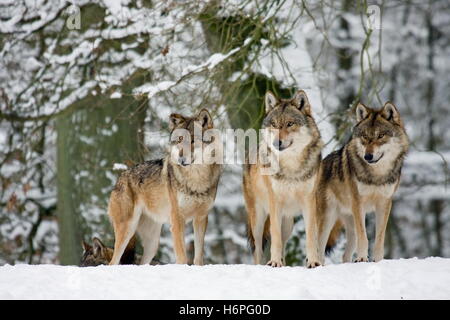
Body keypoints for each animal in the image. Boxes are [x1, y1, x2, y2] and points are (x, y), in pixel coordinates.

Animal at [109, 109, 221, 264]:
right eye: (179, 140)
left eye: (193, 140)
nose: (181, 160)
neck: (196, 179)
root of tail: (120, 178)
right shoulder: (177, 220)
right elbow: (182, 257)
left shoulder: (201, 218)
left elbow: (198, 257)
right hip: (127, 230)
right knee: (112, 262)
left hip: (153, 244)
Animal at [243, 90, 324, 268]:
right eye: (274, 124)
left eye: (289, 124)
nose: (276, 143)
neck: (291, 167)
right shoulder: (275, 203)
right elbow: (275, 238)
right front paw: (274, 262)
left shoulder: (309, 202)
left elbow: (311, 236)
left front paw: (313, 262)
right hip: (258, 220)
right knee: (258, 248)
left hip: (288, 223)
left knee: (284, 243)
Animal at [314, 102, 410, 262]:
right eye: (365, 136)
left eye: (380, 135)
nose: (368, 156)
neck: (377, 175)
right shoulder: (359, 204)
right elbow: (364, 237)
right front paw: (362, 259)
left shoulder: (384, 203)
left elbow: (379, 238)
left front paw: (377, 261)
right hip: (327, 219)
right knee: (319, 250)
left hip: (349, 225)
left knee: (345, 255)